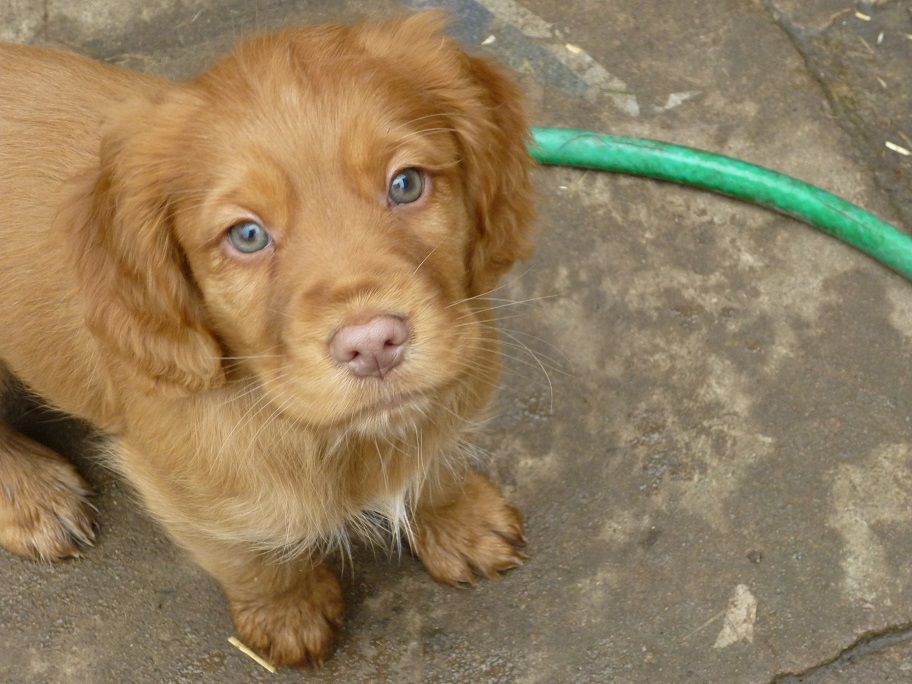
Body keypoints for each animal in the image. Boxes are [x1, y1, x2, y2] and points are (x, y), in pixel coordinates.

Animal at [0, 10, 536, 664]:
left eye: (406, 184)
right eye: (248, 235)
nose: (373, 344)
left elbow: (438, 459)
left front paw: (462, 521)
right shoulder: (186, 493)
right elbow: (251, 558)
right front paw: (288, 616)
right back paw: (31, 496)